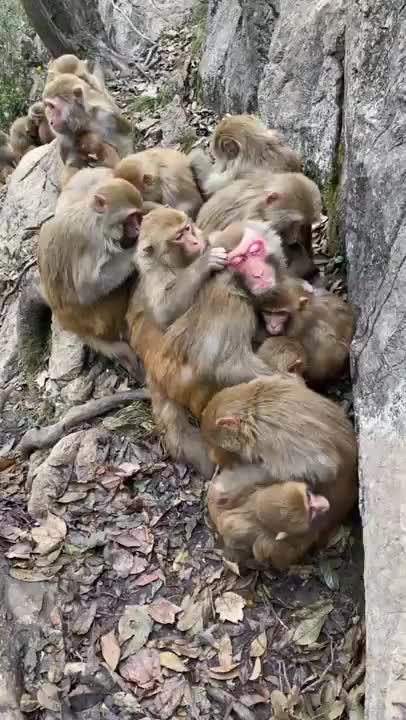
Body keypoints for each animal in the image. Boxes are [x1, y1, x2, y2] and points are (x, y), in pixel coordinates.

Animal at [37, 172, 145, 376]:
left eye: (138, 217)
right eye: (131, 218)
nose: (137, 229)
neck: (96, 219)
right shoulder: (91, 242)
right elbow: (87, 288)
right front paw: (136, 250)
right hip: (100, 319)